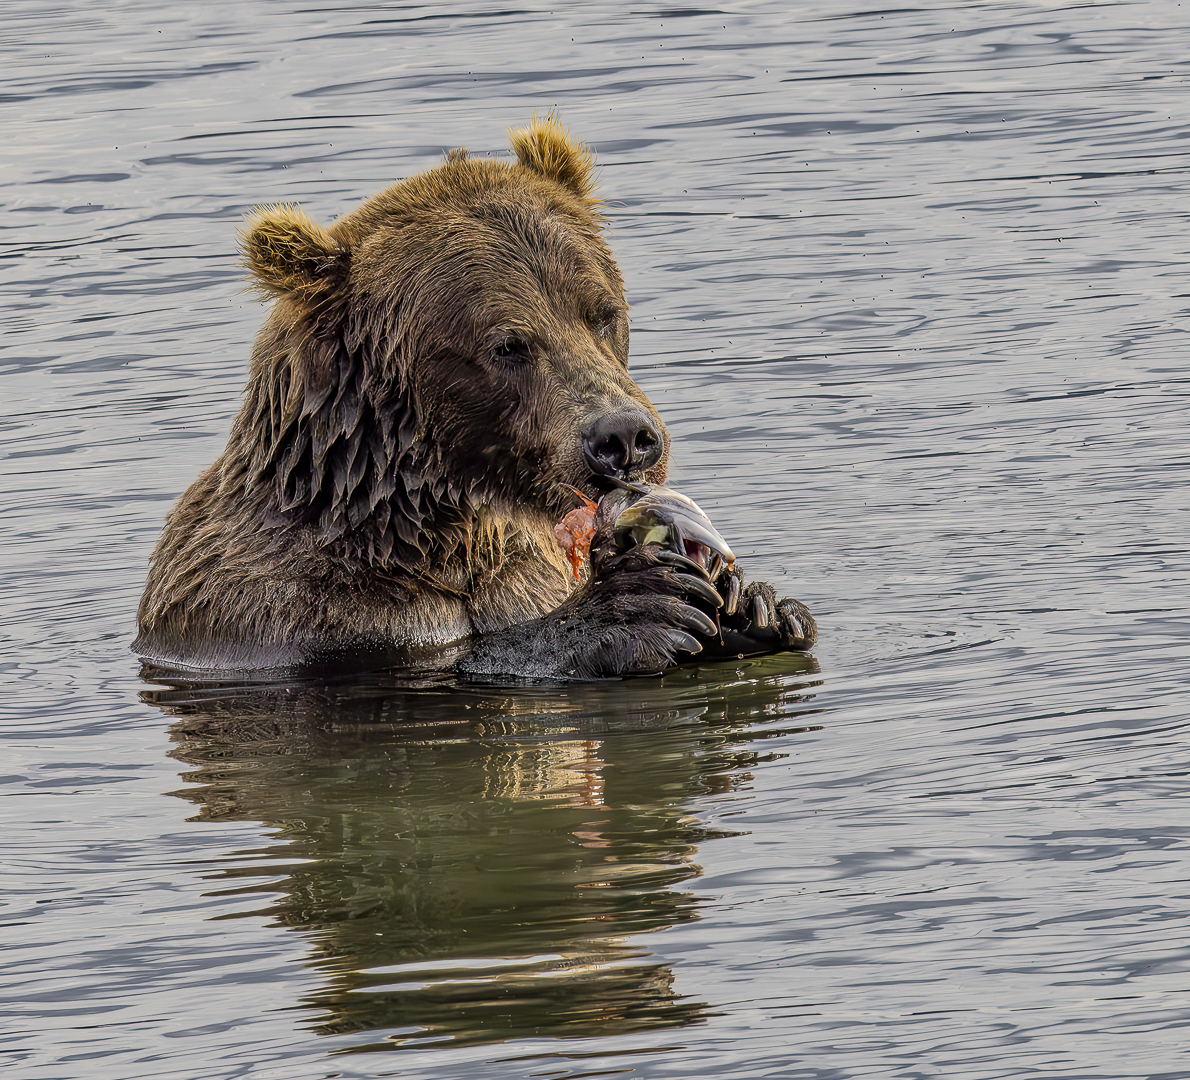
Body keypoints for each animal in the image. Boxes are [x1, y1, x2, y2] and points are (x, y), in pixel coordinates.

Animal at [135, 115, 813, 675]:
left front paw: (757, 606)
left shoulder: (525, 573)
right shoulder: (290, 619)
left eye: (602, 312)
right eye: (508, 344)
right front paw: (637, 611)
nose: (624, 438)